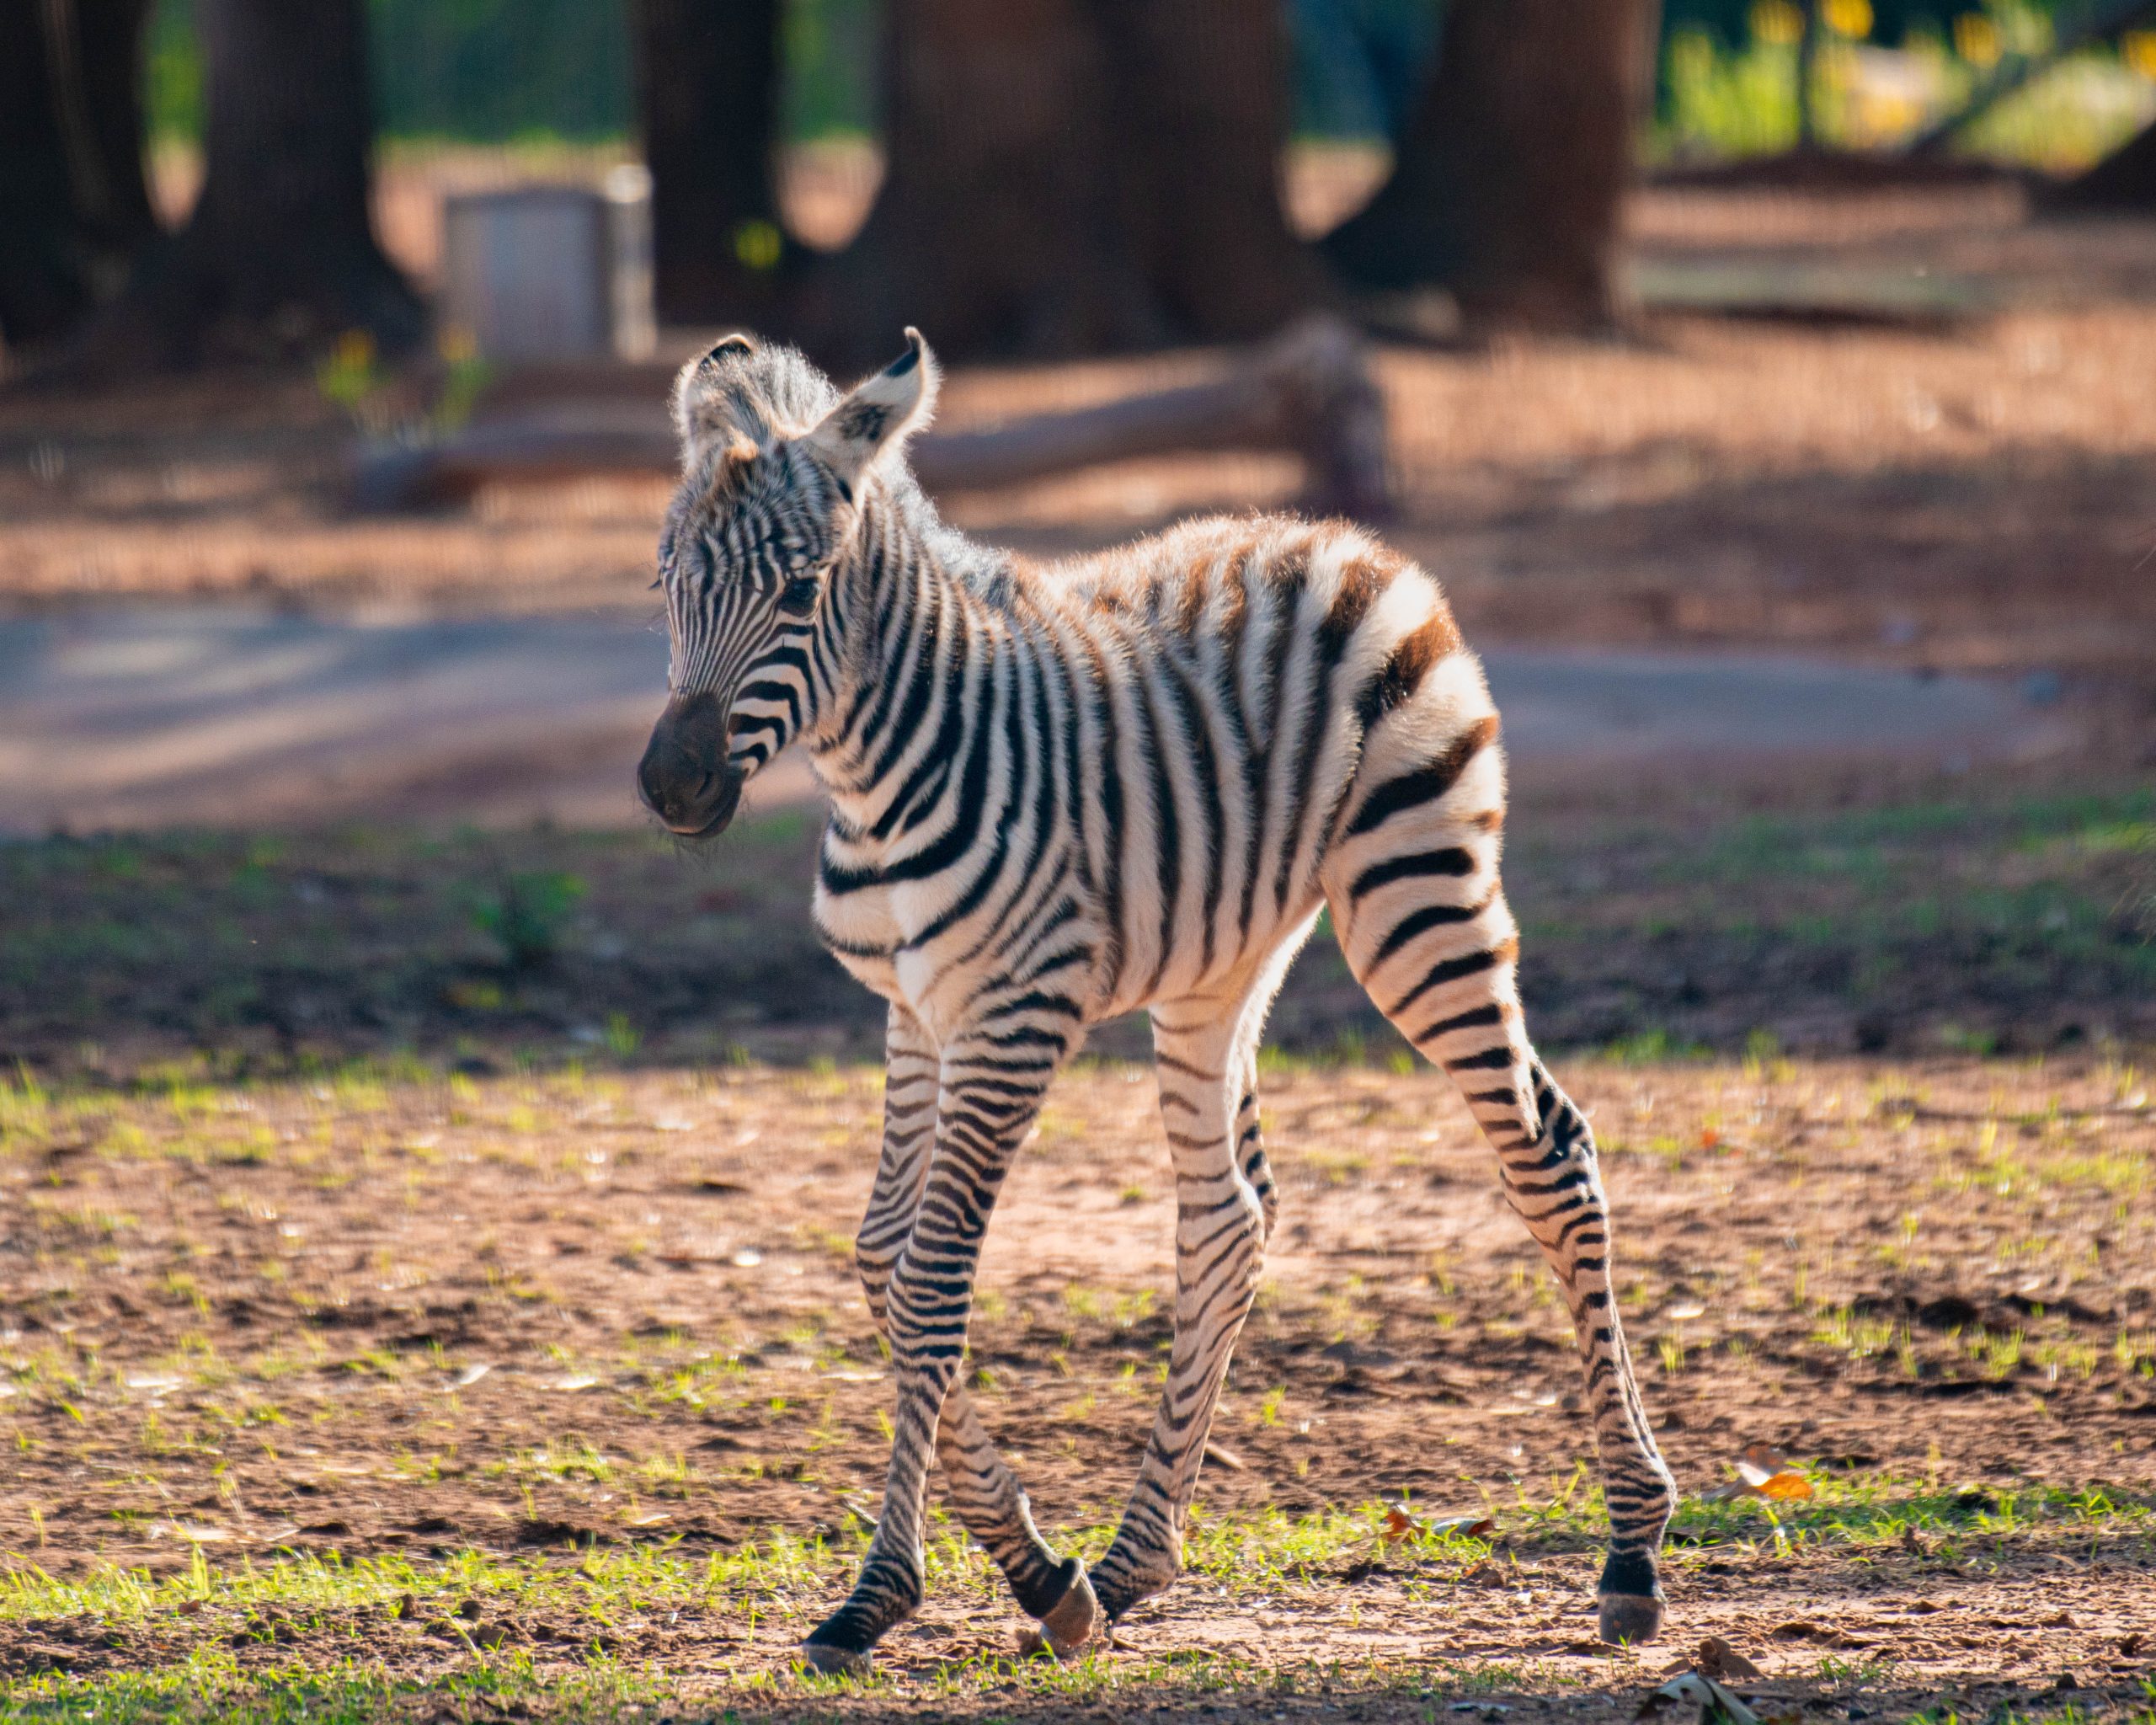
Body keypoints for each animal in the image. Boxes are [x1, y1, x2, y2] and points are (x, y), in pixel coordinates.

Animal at [636, 330, 1676, 1672]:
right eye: (667, 582)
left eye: (804, 590)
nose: (673, 784)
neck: (876, 774)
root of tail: (1347, 541)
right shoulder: (916, 1012)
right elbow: (881, 1256)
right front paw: (1046, 1576)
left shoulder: (1015, 1013)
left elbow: (930, 1279)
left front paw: (882, 1596)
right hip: (1217, 967)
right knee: (1229, 1215)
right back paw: (1133, 1564)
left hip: (1418, 894)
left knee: (1549, 1149)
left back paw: (1632, 1551)